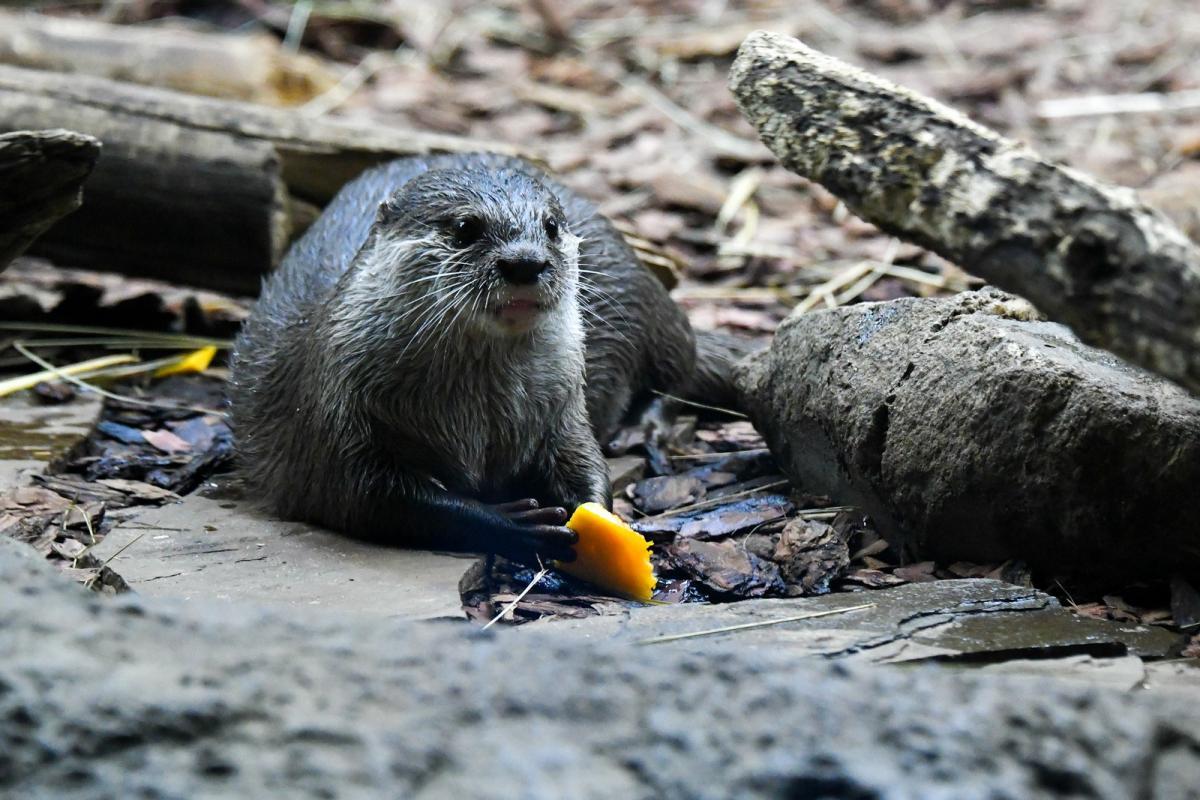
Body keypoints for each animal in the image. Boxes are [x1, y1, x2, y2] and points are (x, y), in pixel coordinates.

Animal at [225, 149, 729, 563]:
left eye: (550, 226)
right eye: (466, 228)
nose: (525, 262)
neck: (479, 414)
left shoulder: (563, 404)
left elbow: (582, 457)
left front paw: (597, 515)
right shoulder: (332, 417)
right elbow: (369, 495)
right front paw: (511, 523)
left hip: (640, 294)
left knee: (680, 359)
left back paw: (643, 426)